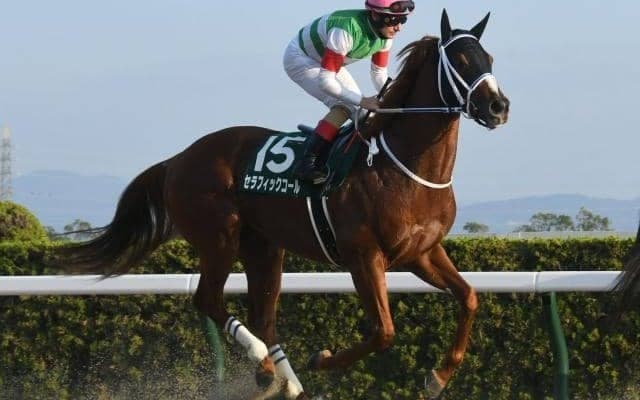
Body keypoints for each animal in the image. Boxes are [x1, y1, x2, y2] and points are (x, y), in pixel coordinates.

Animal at [55, 9, 509, 399]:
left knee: (265, 317)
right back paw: (263, 364)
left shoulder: (422, 253)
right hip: (219, 237)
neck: (402, 167)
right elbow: (383, 331)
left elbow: (469, 297)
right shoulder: (364, 255)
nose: (498, 106)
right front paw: (322, 358)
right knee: (208, 300)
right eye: (460, 59)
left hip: (264, 247)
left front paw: (438, 377)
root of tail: (177, 160)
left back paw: (285, 381)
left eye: (487, 57)